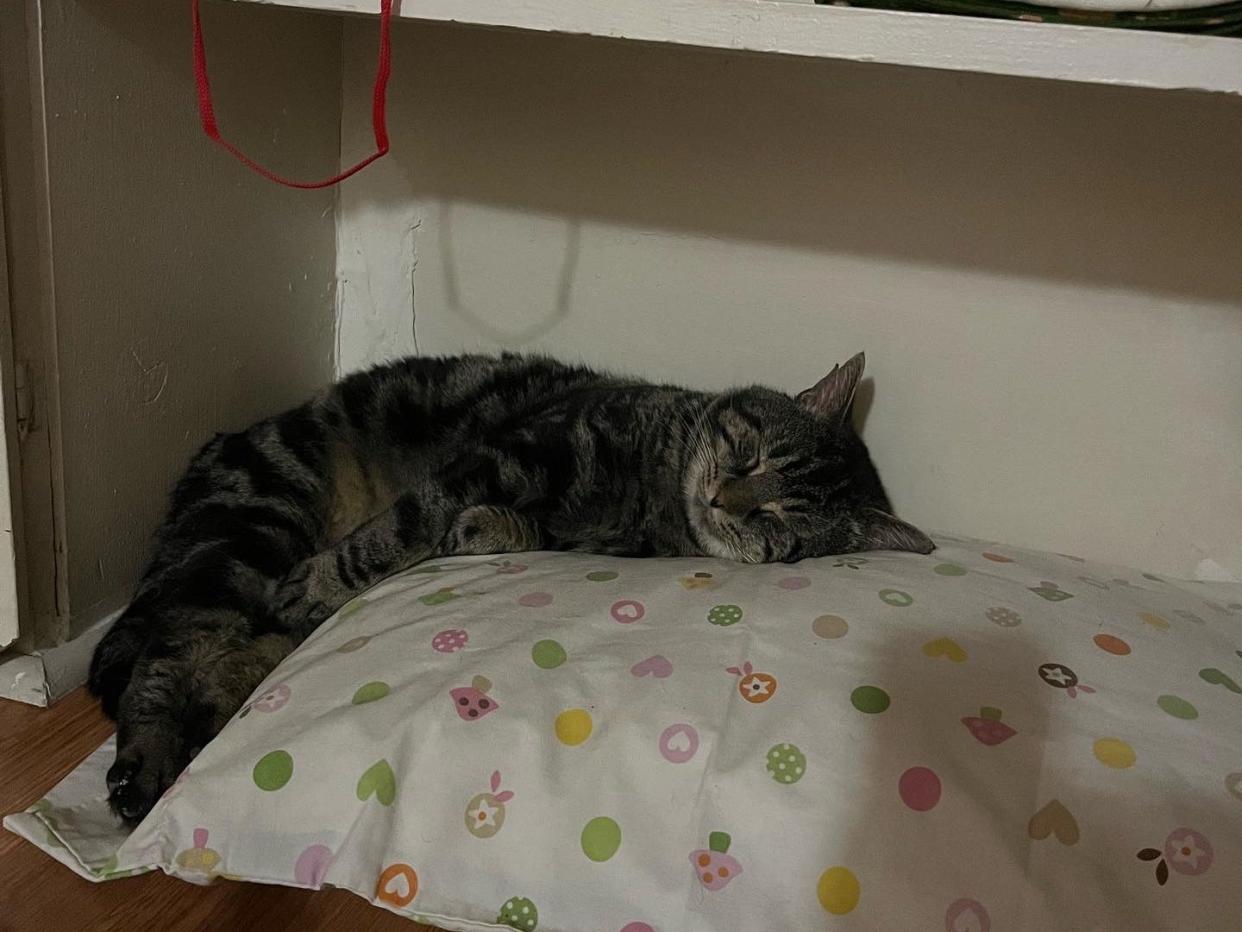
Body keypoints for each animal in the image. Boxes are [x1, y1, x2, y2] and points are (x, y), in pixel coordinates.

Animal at [90, 352, 933, 825]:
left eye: (781, 522)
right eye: (750, 452)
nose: (726, 498)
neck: (655, 491)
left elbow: (481, 529)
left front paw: (481, 532)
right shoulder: (514, 451)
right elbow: (403, 527)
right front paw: (339, 571)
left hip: (260, 619)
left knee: (215, 667)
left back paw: (182, 749)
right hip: (248, 529)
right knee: (162, 655)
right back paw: (143, 761)